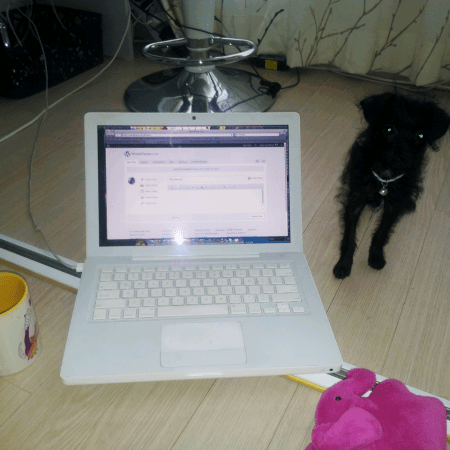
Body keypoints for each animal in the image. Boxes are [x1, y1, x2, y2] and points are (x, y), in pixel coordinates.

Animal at [333, 92, 450, 279]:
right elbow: (349, 236)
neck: (385, 178)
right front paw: (343, 264)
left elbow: (382, 233)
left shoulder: (393, 206)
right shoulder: (355, 200)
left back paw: (409, 203)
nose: (403, 156)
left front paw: (375, 256)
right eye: (389, 130)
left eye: (421, 136)